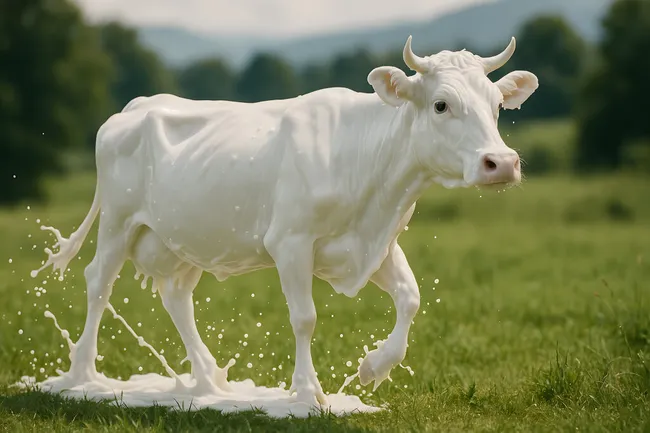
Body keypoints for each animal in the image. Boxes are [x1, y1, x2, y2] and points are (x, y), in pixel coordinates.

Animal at [32, 36, 538, 407]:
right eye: (440, 105)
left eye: (497, 105)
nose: (502, 163)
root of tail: (134, 106)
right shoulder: (290, 242)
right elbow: (305, 317)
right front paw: (308, 393)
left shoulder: (376, 245)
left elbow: (411, 299)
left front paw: (373, 366)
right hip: (118, 222)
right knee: (98, 282)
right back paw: (83, 379)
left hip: (184, 239)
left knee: (176, 298)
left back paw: (209, 382)